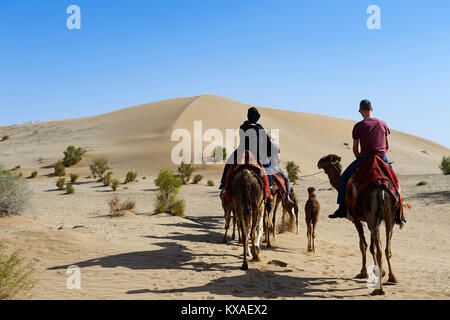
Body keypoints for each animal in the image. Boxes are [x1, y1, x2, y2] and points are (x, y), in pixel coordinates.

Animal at [318, 154, 406, 296]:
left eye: (326, 159)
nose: (319, 162)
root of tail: (381, 190)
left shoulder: (356, 220)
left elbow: (363, 245)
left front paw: (363, 272)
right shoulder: (374, 221)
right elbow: (372, 247)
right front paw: (380, 271)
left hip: (372, 216)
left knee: (380, 250)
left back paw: (379, 289)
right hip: (388, 217)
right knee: (387, 249)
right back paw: (393, 278)